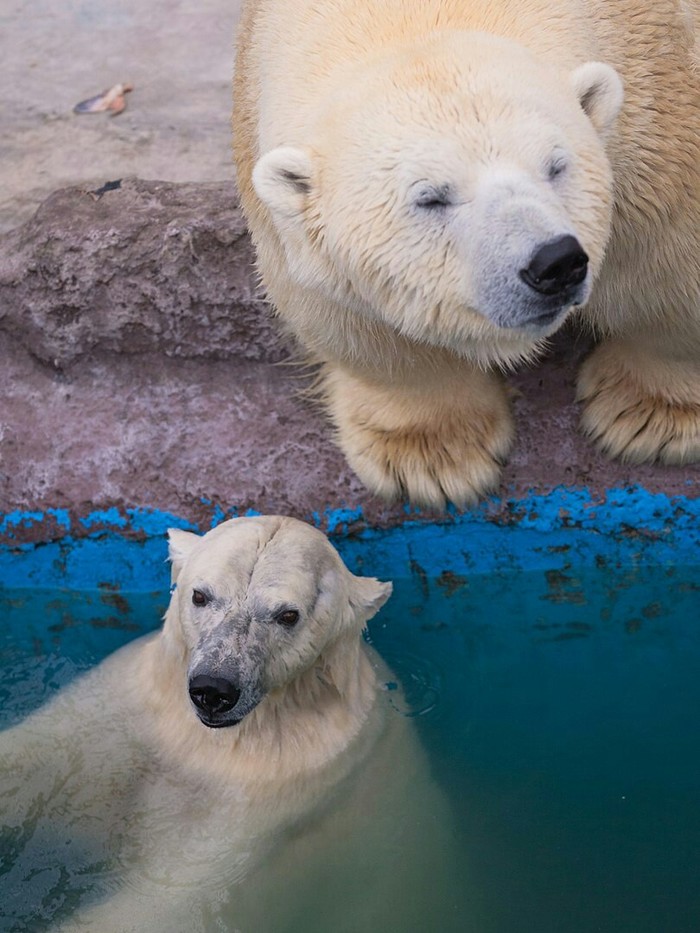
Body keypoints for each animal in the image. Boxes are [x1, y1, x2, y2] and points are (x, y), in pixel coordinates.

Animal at [1, 516, 470, 932]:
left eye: (287, 614)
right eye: (200, 595)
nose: (213, 688)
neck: (206, 745)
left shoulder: (275, 787)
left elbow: (165, 896)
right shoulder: (132, 710)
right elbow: (41, 755)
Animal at [234, 0, 700, 506]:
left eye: (556, 166)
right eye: (430, 198)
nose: (554, 264)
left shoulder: (659, 111)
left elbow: (668, 263)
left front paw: (651, 415)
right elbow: (355, 322)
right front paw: (432, 456)